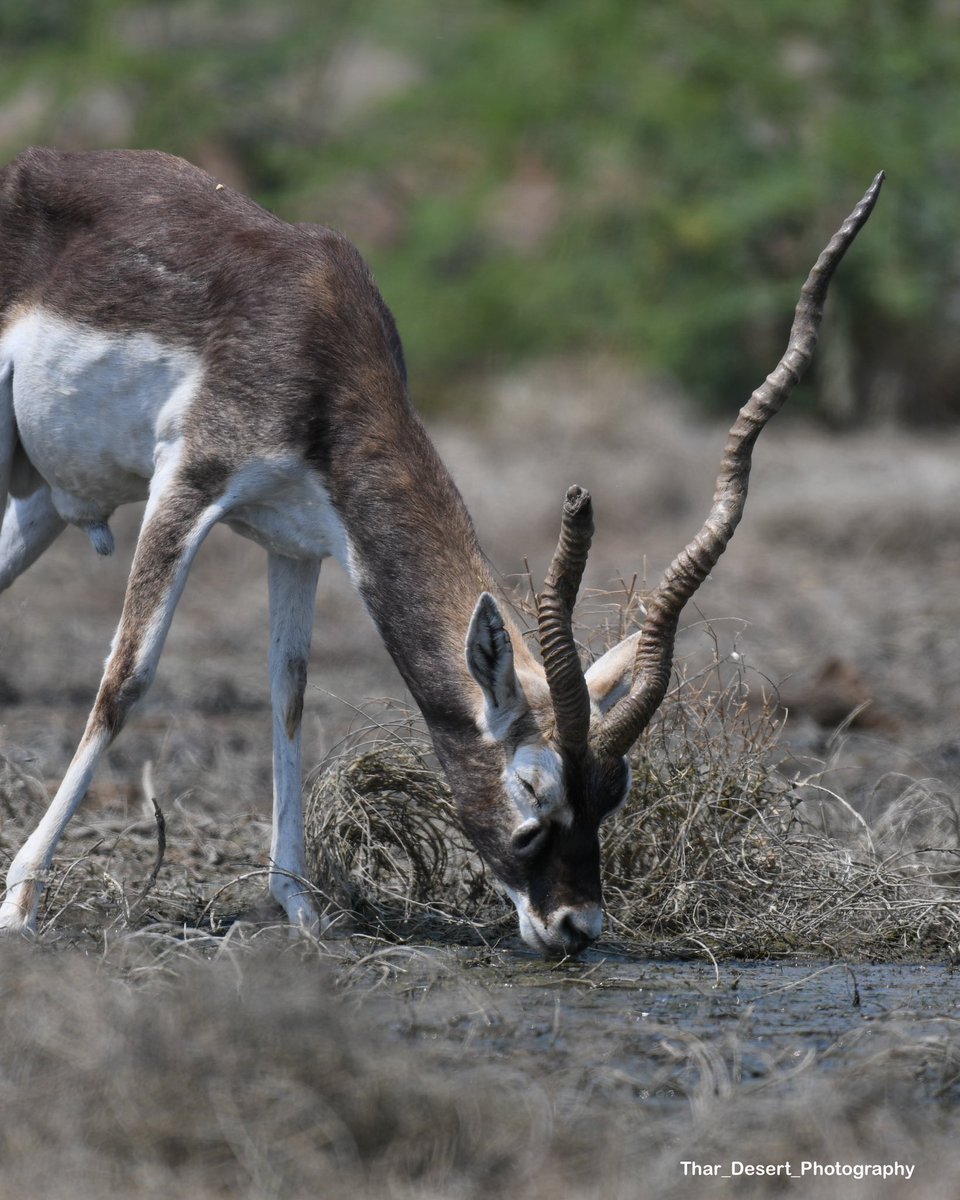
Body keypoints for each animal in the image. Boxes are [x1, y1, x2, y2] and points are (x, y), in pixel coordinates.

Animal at [0, 150, 883, 950]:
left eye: (616, 792)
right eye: (531, 788)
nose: (577, 925)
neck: (319, 342)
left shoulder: (297, 540)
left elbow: (289, 696)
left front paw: (301, 911)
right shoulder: (186, 488)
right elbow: (127, 678)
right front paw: (22, 903)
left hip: (38, 501)